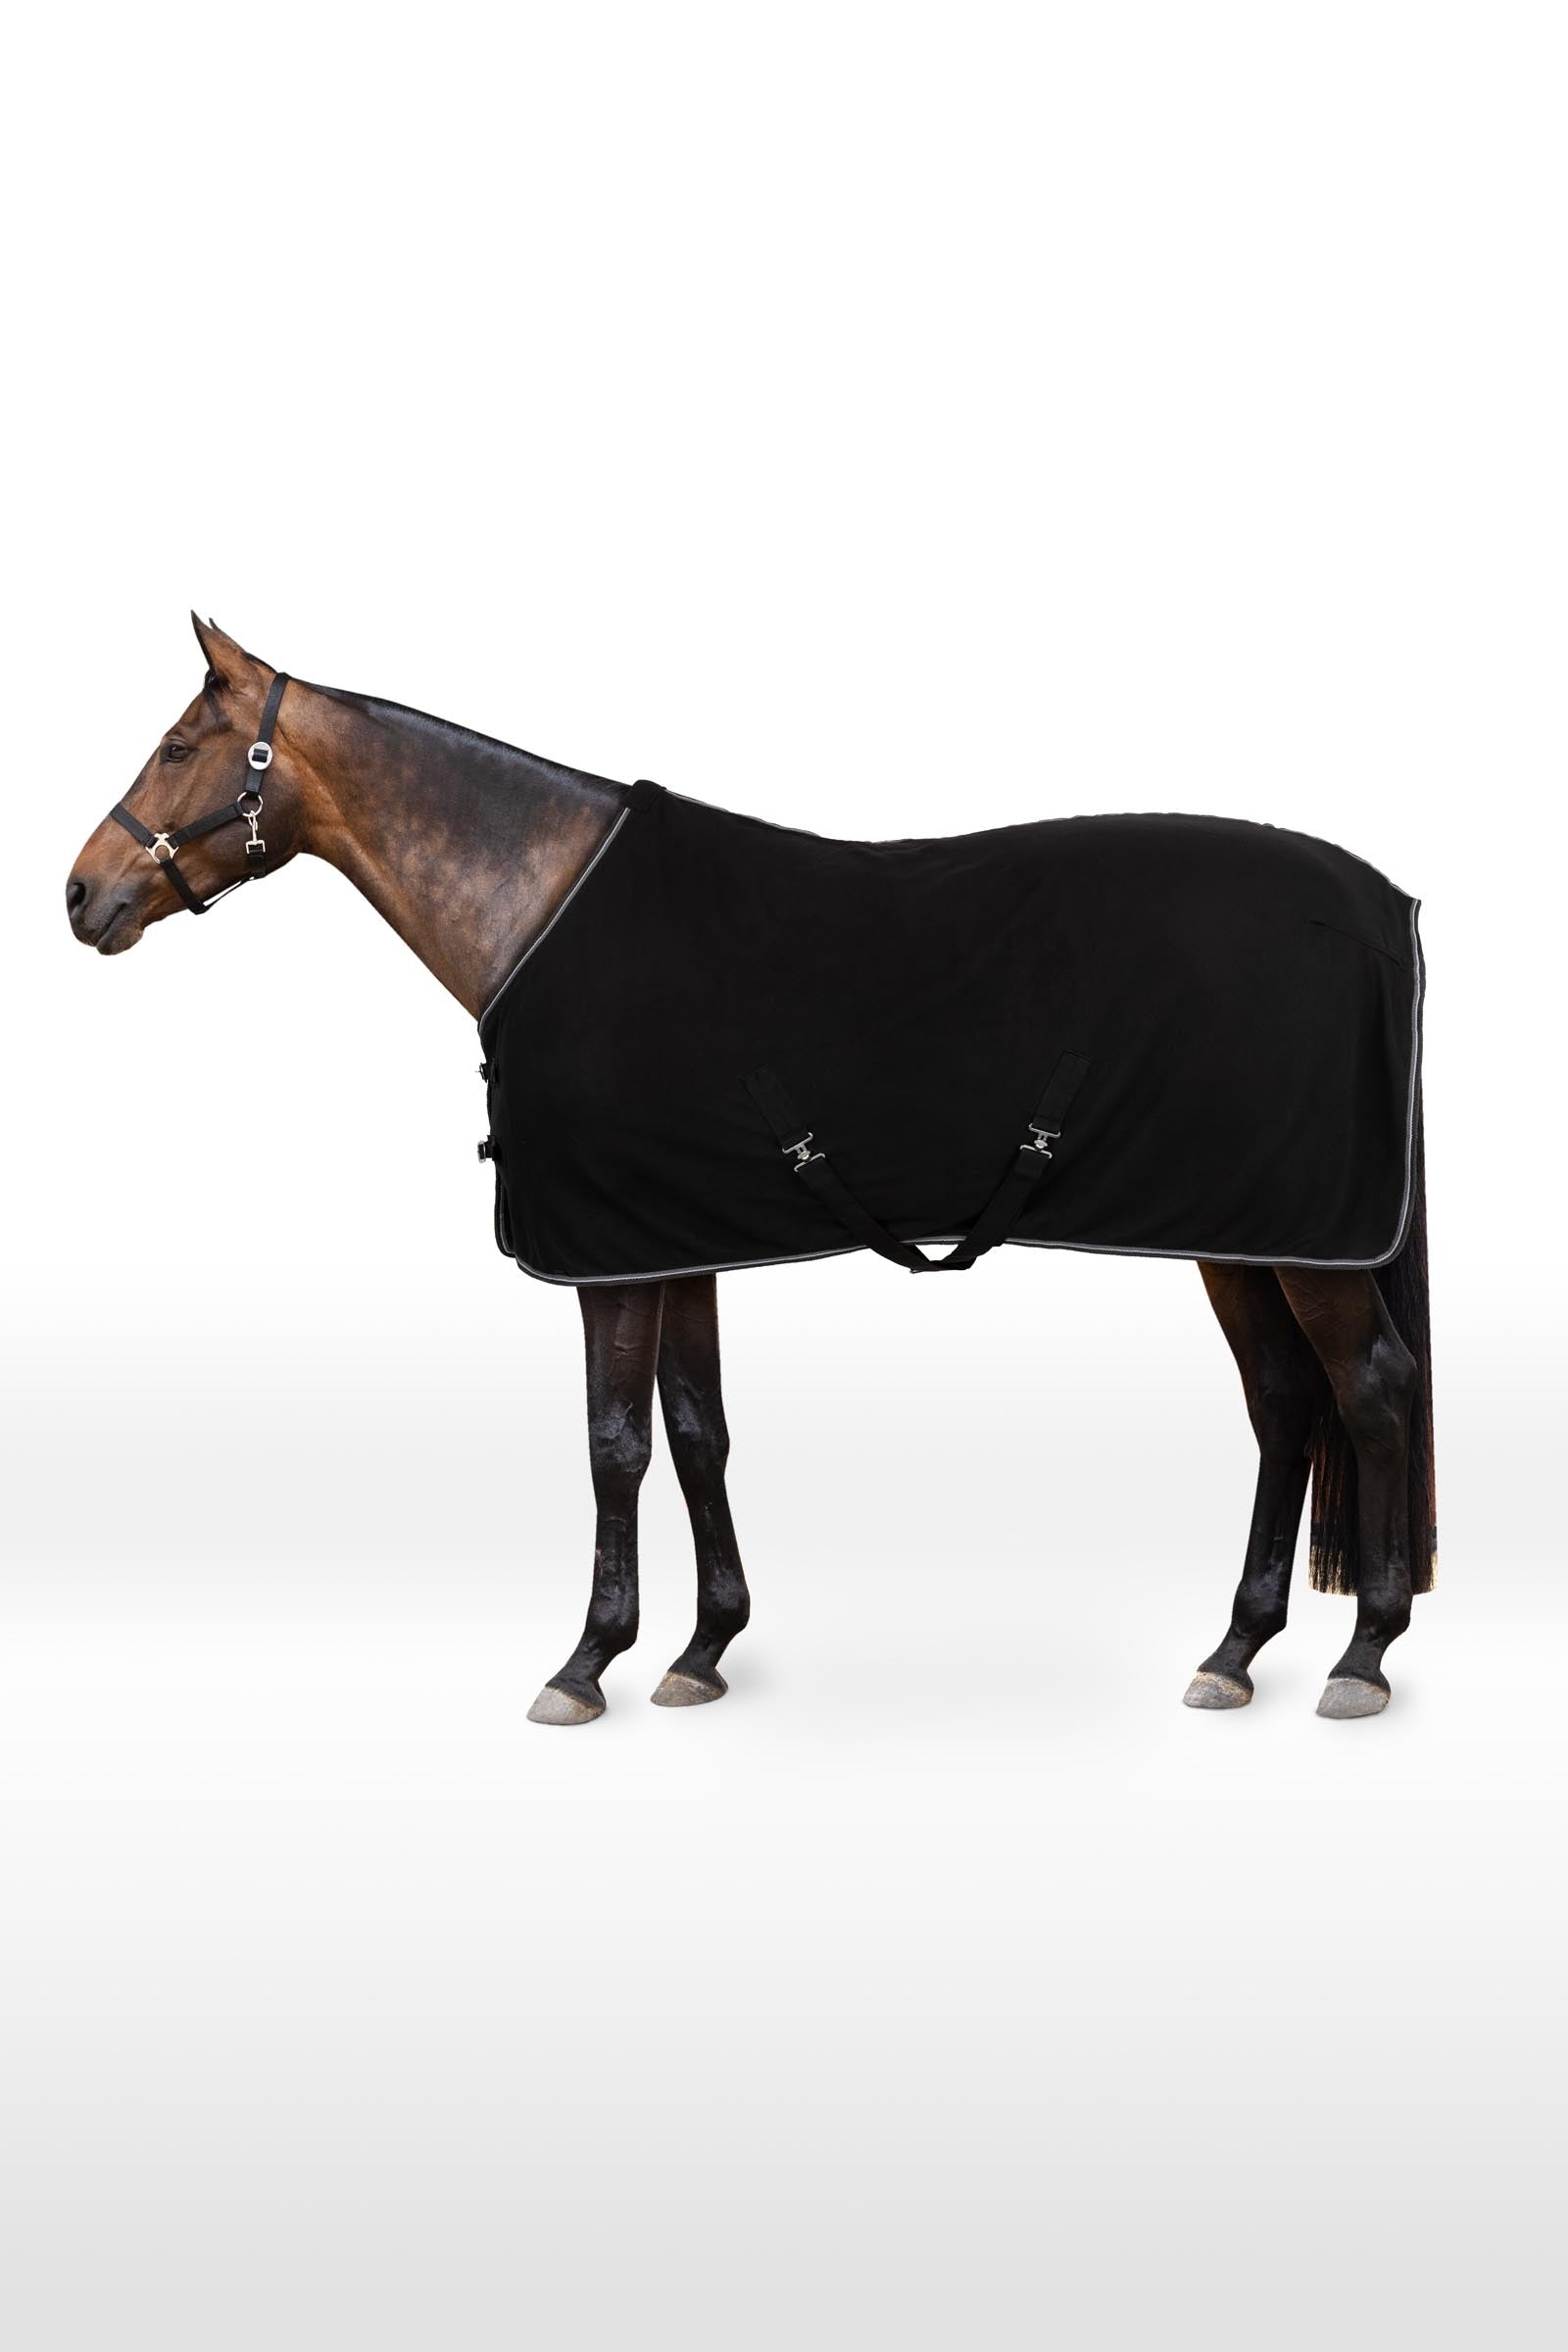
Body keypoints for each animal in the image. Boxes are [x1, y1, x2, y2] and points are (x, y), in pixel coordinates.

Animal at [65, 617, 1436, 1726]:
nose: (80, 895)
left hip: (1304, 1245)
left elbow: (614, 1442)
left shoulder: (611, 1260)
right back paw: (1236, 1650)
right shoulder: (672, 1235)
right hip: (1242, 1232)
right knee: (1284, 1403)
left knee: (1369, 1392)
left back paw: (1362, 1655)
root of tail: (1385, 906)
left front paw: (587, 1664)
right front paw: (702, 1649)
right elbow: (696, 1430)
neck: (541, 903)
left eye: (180, 747)